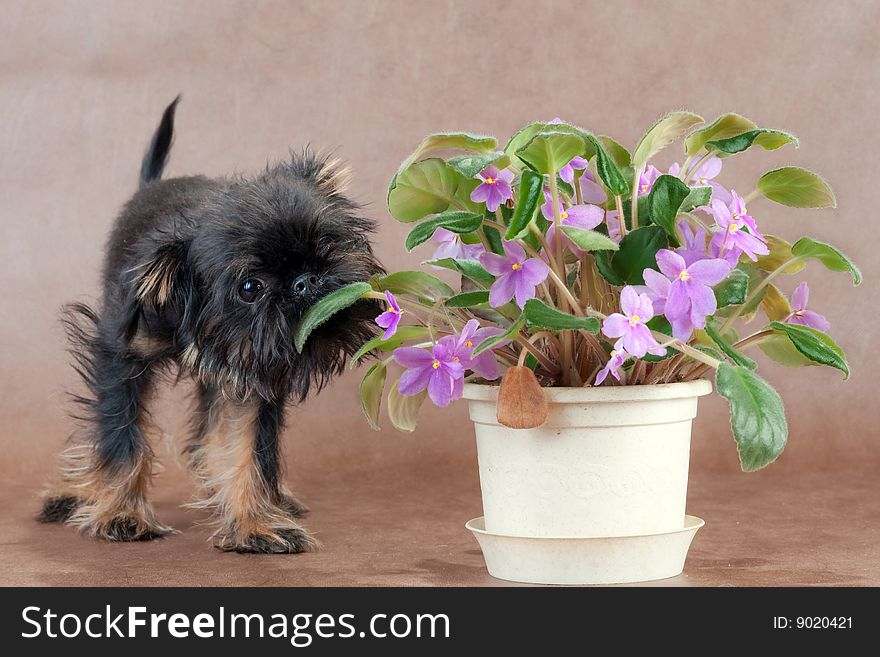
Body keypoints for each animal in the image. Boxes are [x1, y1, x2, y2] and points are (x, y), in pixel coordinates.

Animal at [39, 97, 382, 552]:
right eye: (250, 288)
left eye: (328, 243)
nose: (305, 281)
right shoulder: (118, 355)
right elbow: (120, 435)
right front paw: (121, 513)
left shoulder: (248, 371)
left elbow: (248, 447)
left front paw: (255, 521)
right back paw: (71, 494)